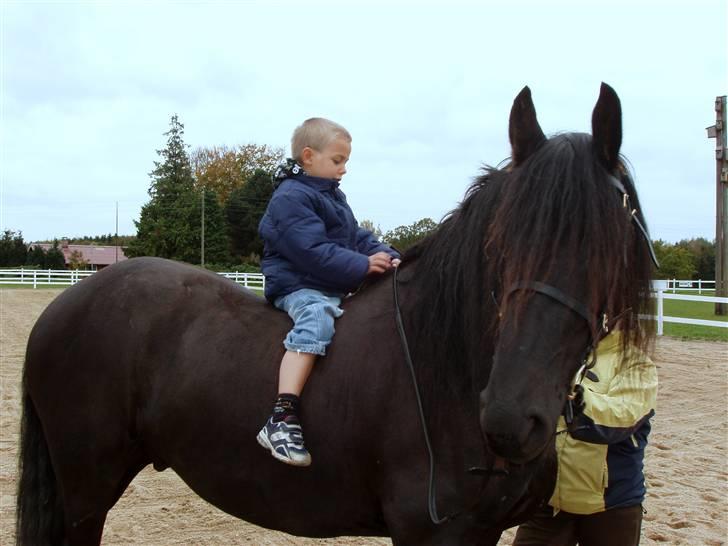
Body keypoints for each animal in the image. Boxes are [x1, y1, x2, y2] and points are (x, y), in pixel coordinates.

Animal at [17, 83, 656, 540]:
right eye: (499, 246)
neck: (444, 365)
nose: (507, 419)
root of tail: (69, 301)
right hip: (87, 491)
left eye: (605, 248)